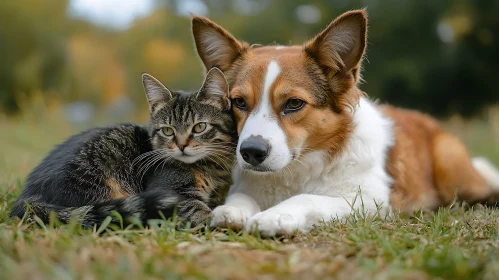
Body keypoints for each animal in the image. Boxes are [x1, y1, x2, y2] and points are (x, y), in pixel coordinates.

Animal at [10, 68, 238, 228]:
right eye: (167, 131)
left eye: (199, 127)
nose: (181, 146)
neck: (213, 168)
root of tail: (27, 198)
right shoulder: (173, 192)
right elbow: (201, 211)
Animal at [190, 9, 499, 236]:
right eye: (239, 102)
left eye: (294, 103)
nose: (251, 153)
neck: (299, 169)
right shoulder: (247, 185)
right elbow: (240, 198)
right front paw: (234, 211)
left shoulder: (371, 200)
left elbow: (309, 198)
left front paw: (277, 215)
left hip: (451, 169)